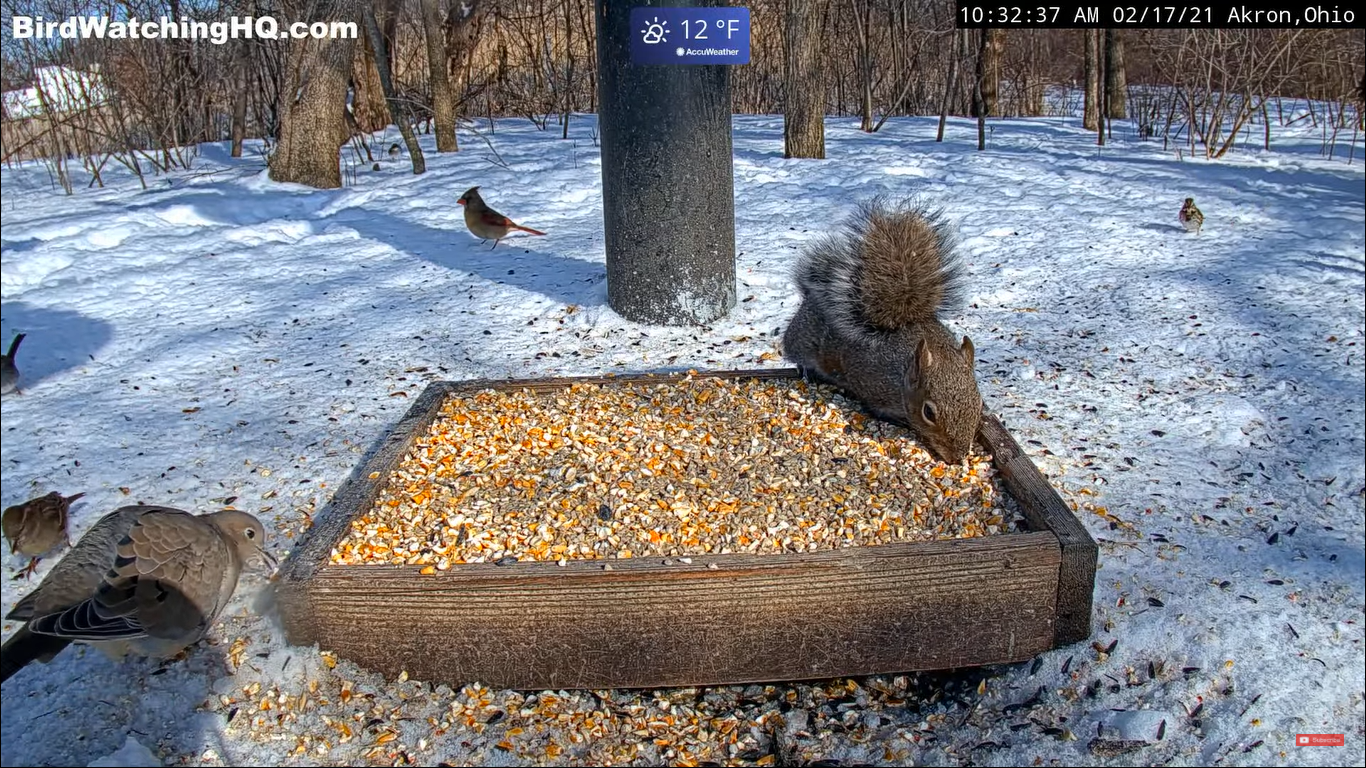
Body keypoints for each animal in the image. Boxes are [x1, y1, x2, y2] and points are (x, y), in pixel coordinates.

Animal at [782, 198, 983, 464]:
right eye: (929, 412)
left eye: (979, 403)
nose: (957, 457)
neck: (903, 373)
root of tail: (809, 296)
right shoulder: (871, 384)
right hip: (804, 339)